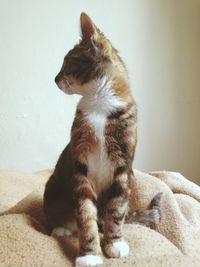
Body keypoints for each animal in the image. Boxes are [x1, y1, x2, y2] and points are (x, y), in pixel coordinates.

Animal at [43, 11, 162, 266]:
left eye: (68, 61)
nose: (55, 78)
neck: (99, 103)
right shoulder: (80, 164)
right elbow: (85, 213)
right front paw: (89, 254)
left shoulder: (123, 167)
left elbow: (116, 211)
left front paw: (114, 242)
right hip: (53, 185)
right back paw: (61, 228)